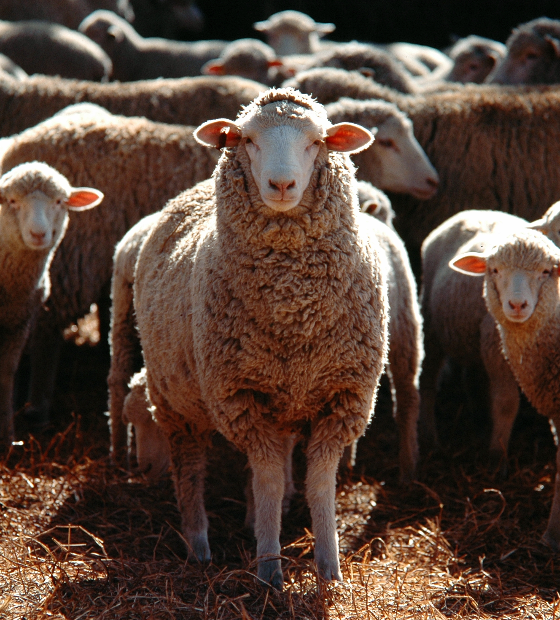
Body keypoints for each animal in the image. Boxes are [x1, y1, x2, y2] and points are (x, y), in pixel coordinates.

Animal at [0, 162, 102, 448]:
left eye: (59, 202)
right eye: (12, 201)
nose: (38, 234)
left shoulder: (19, 322)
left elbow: (6, 373)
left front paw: (7, 439)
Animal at [133, 87, 390, 588]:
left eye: (317, 141)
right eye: (247, 139)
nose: (283, 185)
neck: (294, 307)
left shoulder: (343, 395)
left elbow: (319, 483)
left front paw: (329, 569)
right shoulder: (241, 396)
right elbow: (268, 479)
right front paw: (269, 569)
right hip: (175, 400)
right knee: (189, 469)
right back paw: (199, 545)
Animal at [420, 211, 528, 468]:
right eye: (494, 270)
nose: (517, 305)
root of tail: (478, 211)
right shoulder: (497, 350)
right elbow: (506, 402)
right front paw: (497, 458)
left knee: (473, 377)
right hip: (431, 324)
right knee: (427, 380)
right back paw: (430, 439)